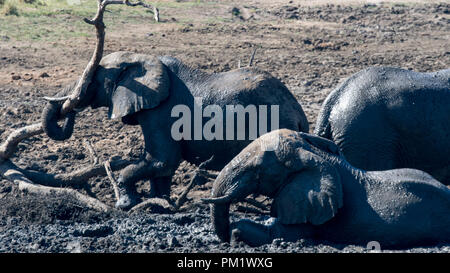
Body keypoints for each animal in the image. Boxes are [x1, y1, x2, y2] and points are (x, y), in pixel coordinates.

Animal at [41, 51, 310, 208]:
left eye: (92, 78)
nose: (69, 107)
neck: (142, 60)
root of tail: (298, 113)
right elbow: (162, 168)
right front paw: (160, 202)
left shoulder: (161, 114)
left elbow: (162, 161)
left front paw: (126, 205)